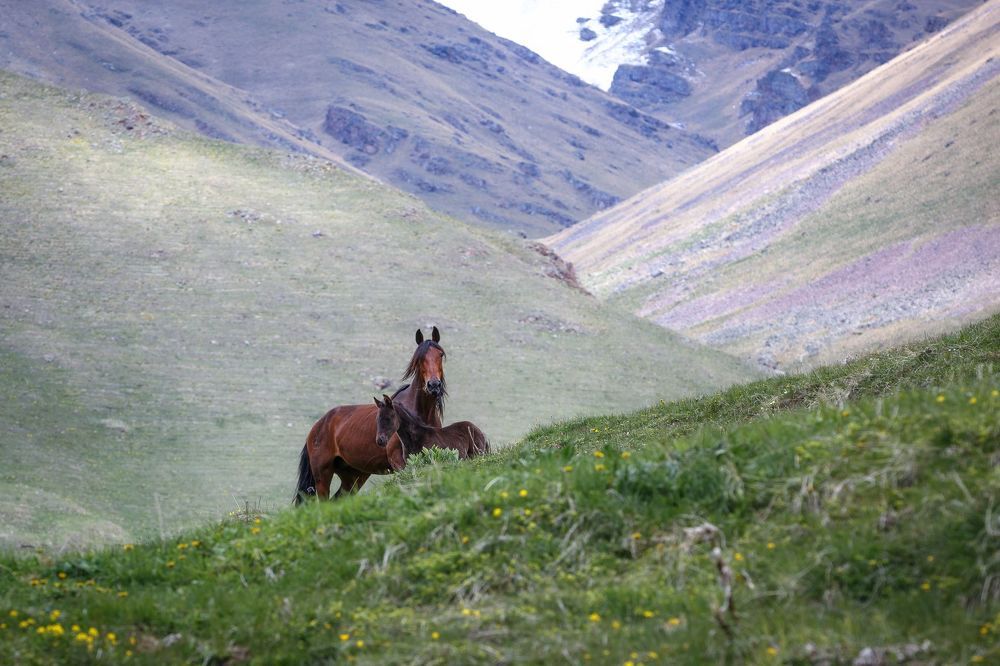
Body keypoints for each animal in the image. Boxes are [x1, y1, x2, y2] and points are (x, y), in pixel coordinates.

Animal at [293, 327, 447, 503]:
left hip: (354, 476)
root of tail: (318, 426)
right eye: (419, 359)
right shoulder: (399, 462)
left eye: (440, 355)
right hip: (323, 475)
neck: (418, 414)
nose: (434, 385)